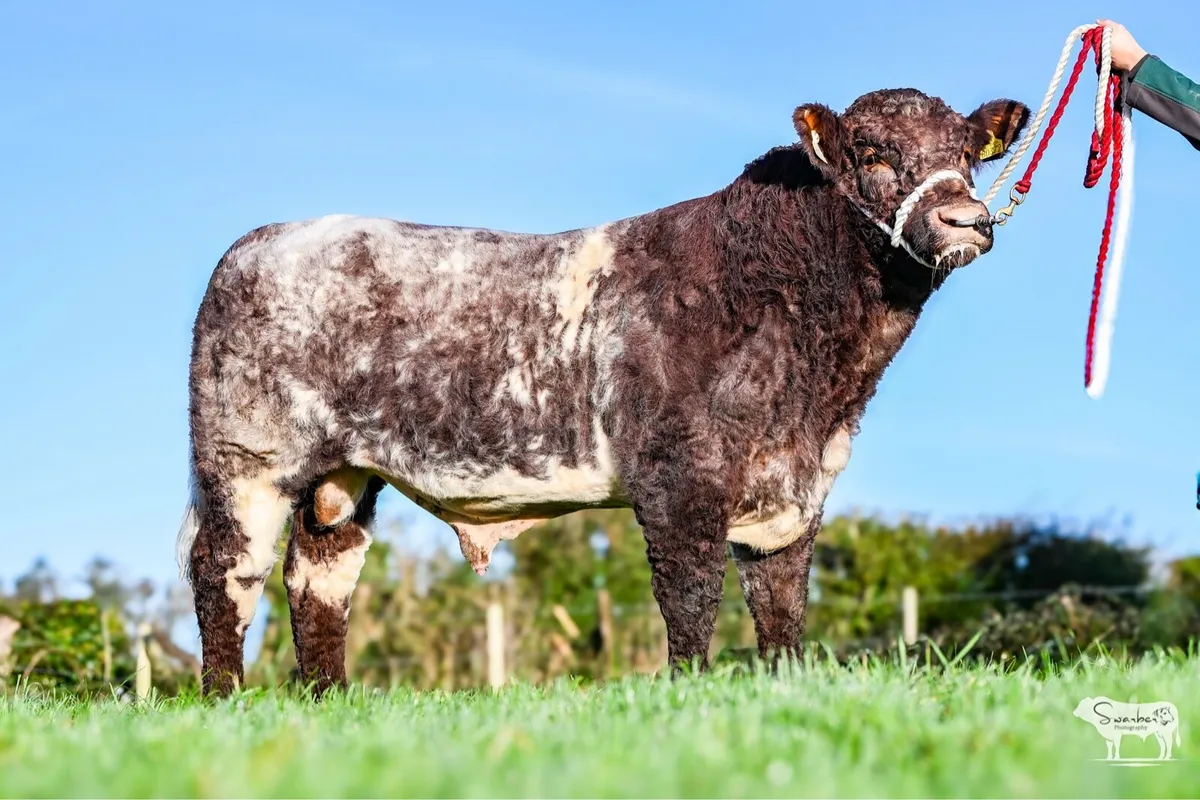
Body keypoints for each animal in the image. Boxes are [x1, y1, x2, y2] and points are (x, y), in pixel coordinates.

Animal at [177, 87, 1031, 697]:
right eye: (873, 153)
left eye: (968, 152)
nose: (966, 218)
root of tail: (260, 242)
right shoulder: (680, 481)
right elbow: (690, 597)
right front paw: (689, 692)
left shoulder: (795, 491)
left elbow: (782, 606)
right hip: (246, 460)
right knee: (226, 571)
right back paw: (225, 700)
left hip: (342, 476)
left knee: (319, 578)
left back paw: (330, 700)